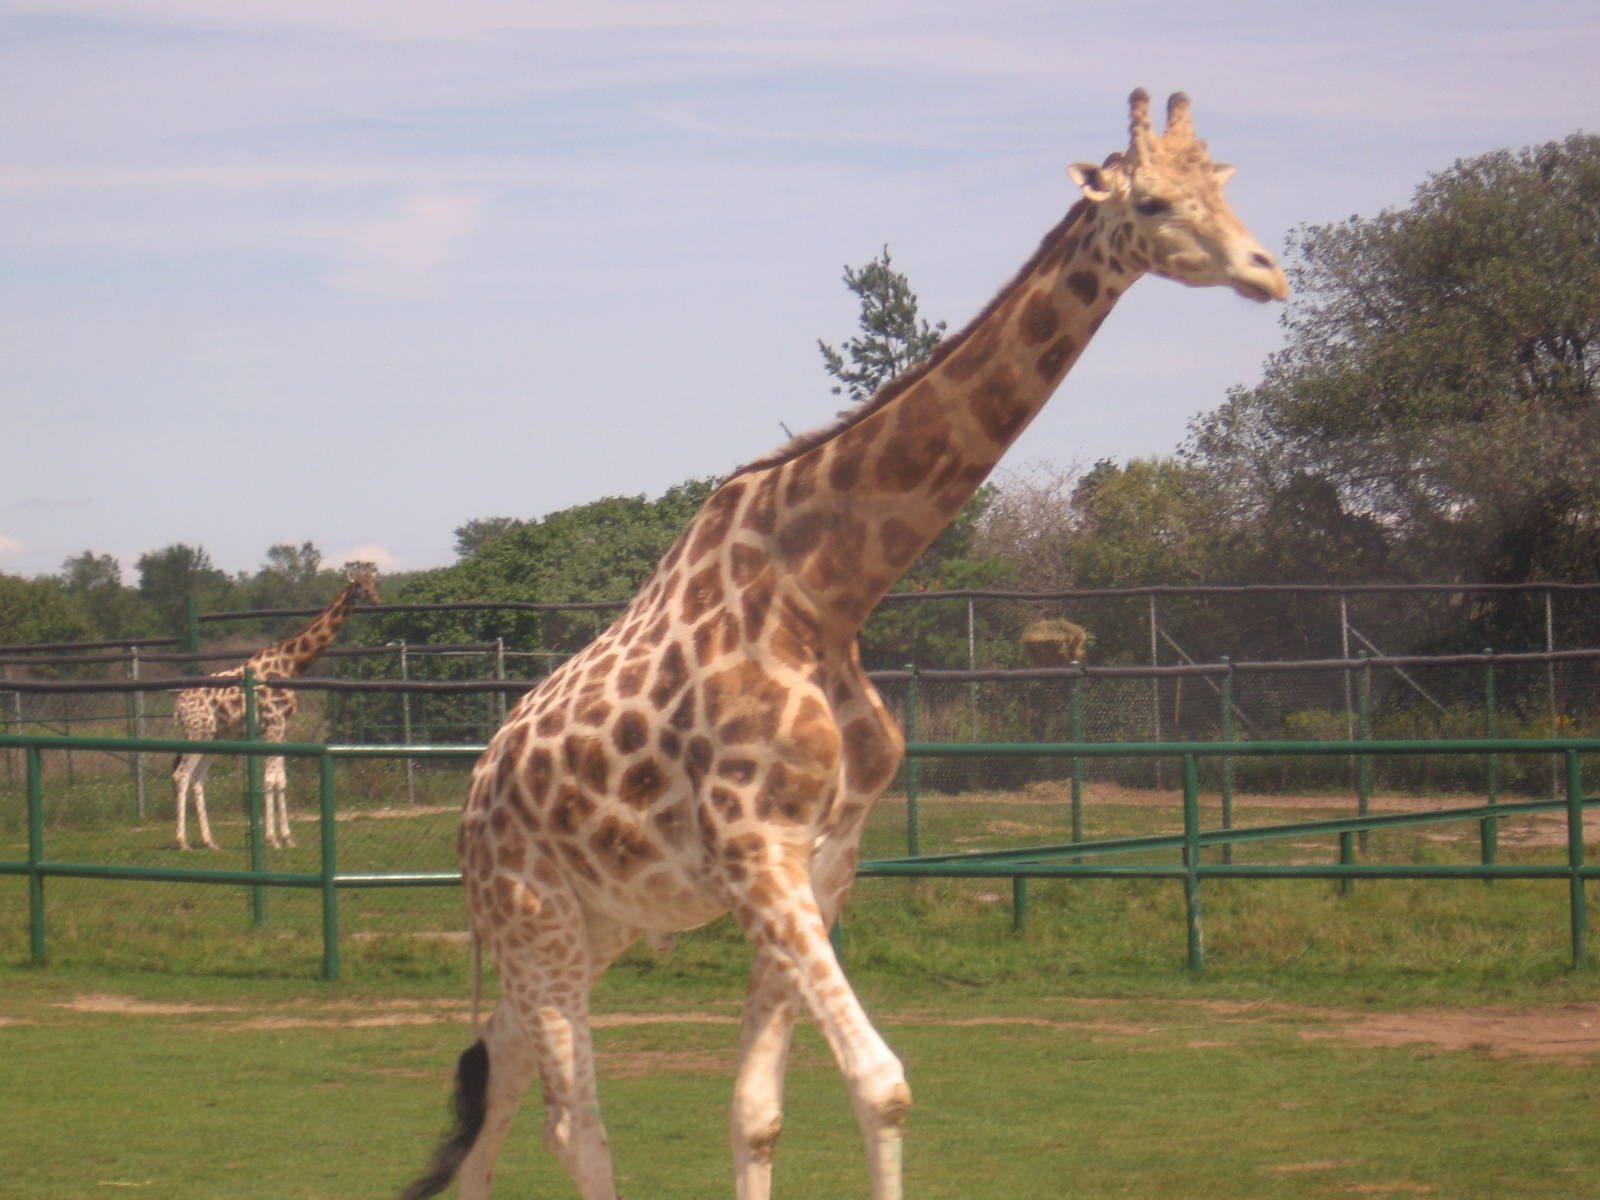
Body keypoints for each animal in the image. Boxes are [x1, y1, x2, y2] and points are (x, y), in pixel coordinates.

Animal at [170, 563, 379, 851]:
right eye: (359, 584)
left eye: (375, 583)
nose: (375, 599)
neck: (291, 664)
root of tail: (179, 703)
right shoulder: (273, 724)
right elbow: (270, 780)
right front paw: (272, 838)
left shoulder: (282, 726)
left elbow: (281, 780)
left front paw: (287, 837)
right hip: (197, 731)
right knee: (181, 775)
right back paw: (182, 842)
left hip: (213, 735)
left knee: (197, 779)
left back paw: (210, 841)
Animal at [401, 90, 1286, 1200]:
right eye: (1157, 201)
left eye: (1225, 184)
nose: (1268, 270)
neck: (822, 597)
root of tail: (470, 807)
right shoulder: (755, 848)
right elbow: (881, 1082)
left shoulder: (824, 859)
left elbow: (760, 1112)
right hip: (536, 916)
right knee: (573, 1121)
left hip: (595, 923)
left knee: (500, 1069)